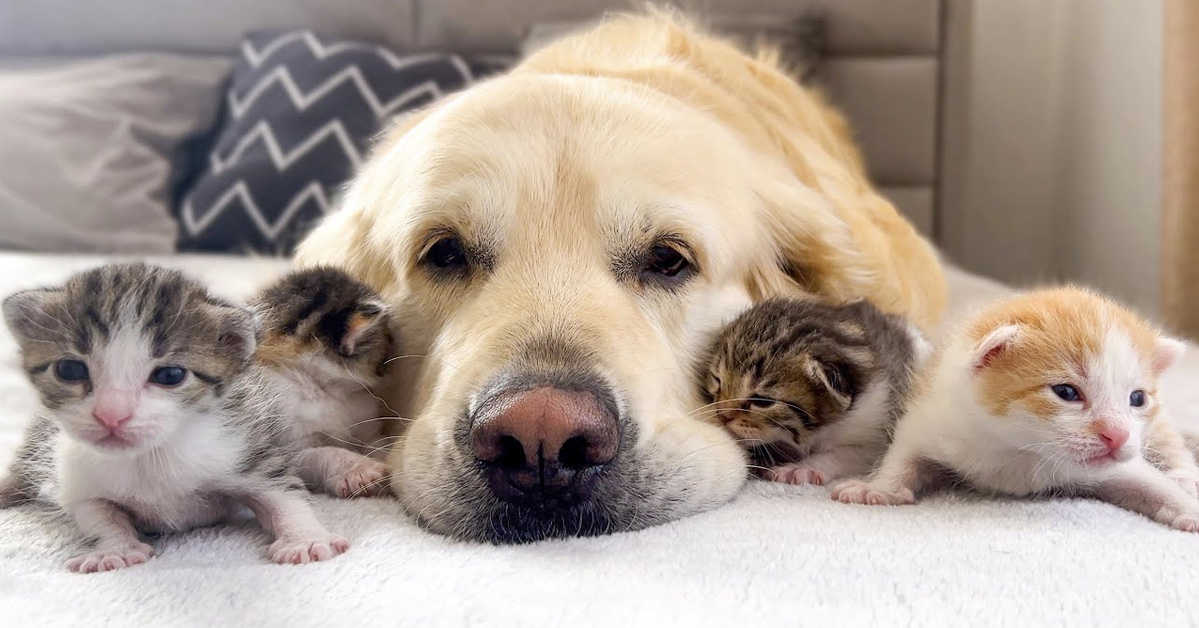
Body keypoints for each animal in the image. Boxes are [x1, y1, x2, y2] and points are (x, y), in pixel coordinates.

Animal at [0, 262, 347, 570]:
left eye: (169, 375)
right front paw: (115, 548)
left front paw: (306, 538)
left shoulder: (244, 444)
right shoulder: (76, 474)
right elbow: (96, 514)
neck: (150, 457)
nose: (111, 415)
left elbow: (283, 493)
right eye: (69, 370)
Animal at [251, 267, 393, 498]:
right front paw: (361, 470)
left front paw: (386, 453)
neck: (324, 388)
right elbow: (322, 453)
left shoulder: (366, 426)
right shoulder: (287, 445)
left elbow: (375, 442)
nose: (389, 364)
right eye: (389, 338)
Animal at [700, 298, 925, 486]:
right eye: (717, 380)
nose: (723, 416)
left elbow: (844, 453)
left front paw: (802, 468)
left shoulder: (878, 432)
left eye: (762, 401)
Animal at [829, 286, 1199, 532]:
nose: (1117, 435)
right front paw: (878, 488)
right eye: (1067, 392)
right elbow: (904, 454)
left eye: (1137, 399)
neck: (1022, 447)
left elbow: (1151, 483)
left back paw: (1185, 475)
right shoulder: (938, 416)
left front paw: (1187, 507)